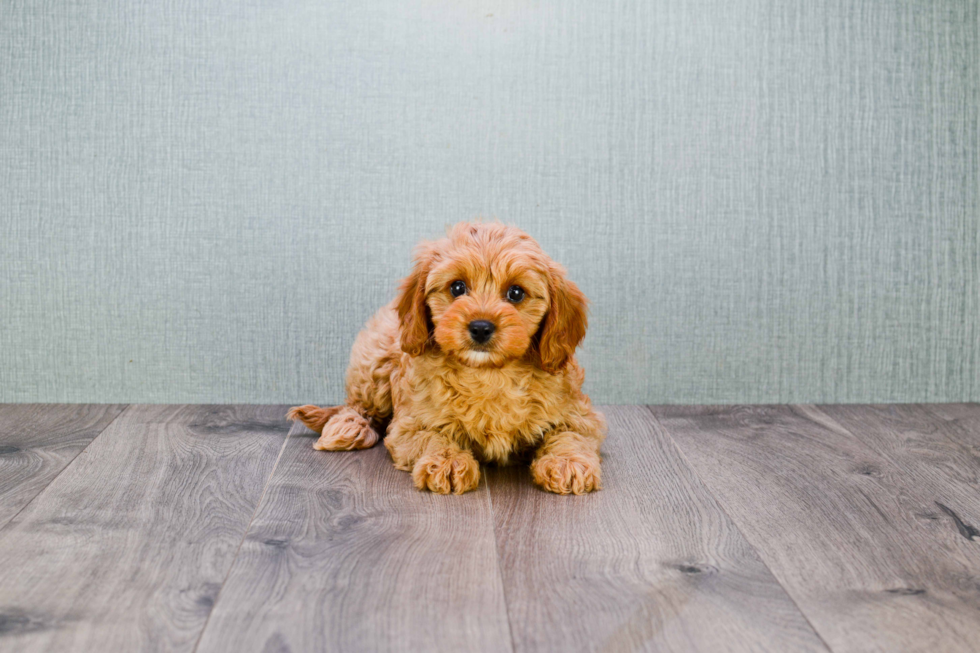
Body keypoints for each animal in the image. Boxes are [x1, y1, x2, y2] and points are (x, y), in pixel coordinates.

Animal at [286, 223, 604, 494]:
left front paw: (567, 462)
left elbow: (571, 435)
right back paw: (349, 426)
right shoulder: (410, 423)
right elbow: (432, 436)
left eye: (516, 293)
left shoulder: (580, 416)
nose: (480, 327)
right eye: (457, 287)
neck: (488, 373)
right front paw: (448, 461)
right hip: (375, 361)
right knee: (359, 405)